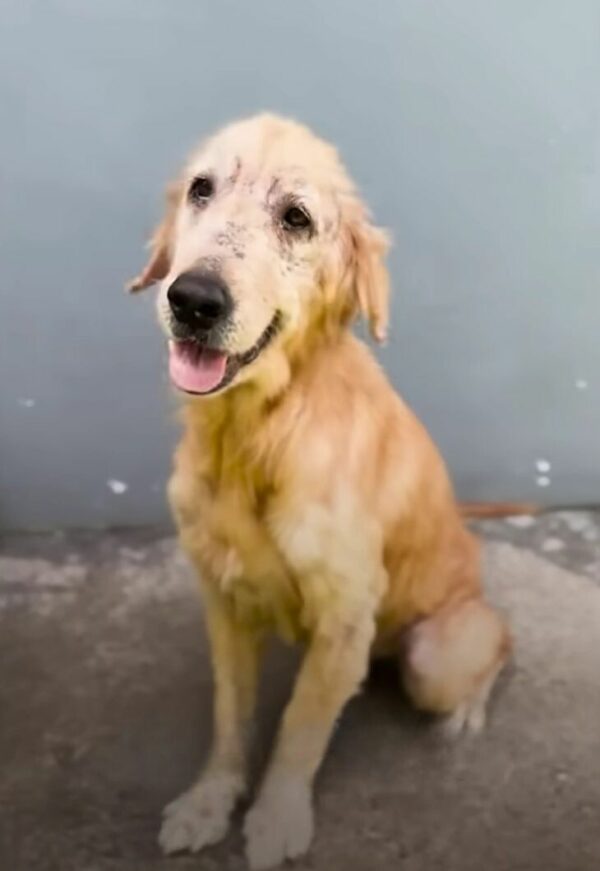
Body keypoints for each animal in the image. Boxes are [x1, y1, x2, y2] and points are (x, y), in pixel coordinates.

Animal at [129, 116, 508, 871]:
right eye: (200, 189)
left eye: (296, 218)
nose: (193, 300)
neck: (254, 439)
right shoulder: (224, 602)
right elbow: (231, 715)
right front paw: (211, 800)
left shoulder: (344, 620)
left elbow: (300, 729)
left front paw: (276, 816)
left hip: (435, 654)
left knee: (499, 644)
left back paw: (467, 710)